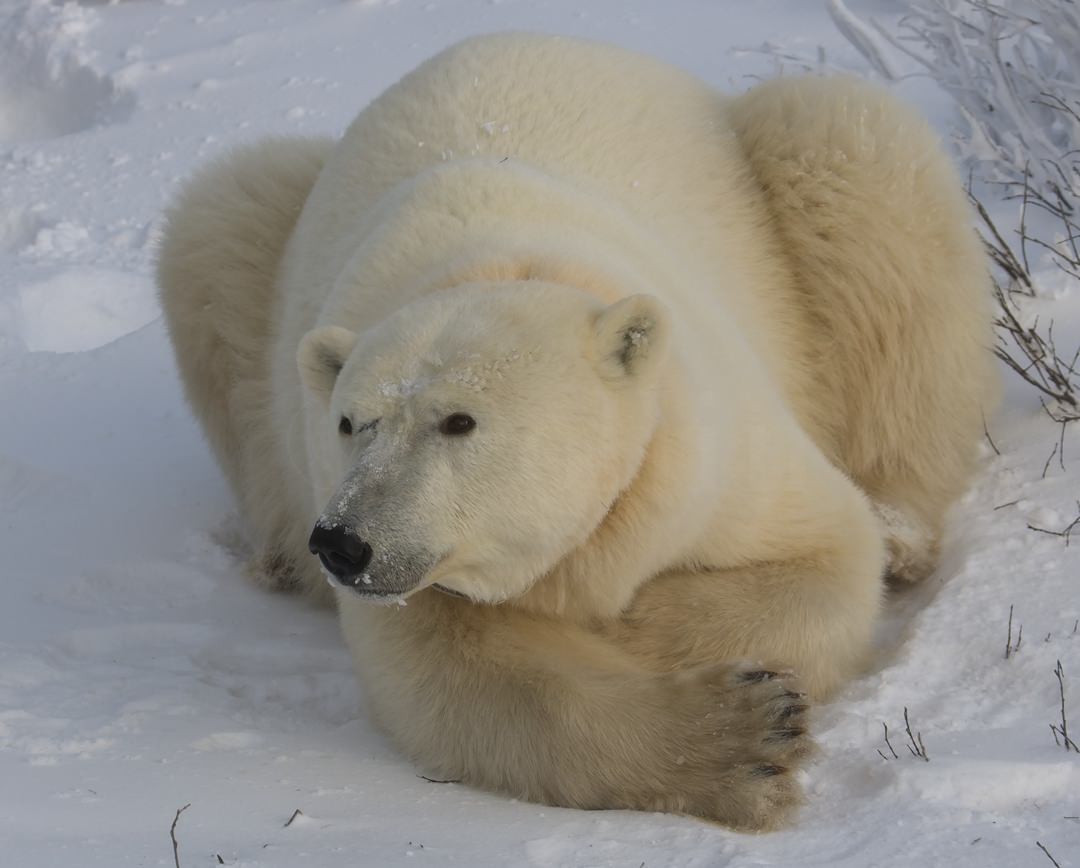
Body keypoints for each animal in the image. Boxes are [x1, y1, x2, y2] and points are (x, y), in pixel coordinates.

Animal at [157, 33, 999, 831]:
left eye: (458, 420)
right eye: (348, 422)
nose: (343, 543)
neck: (495, 261)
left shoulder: (703, 446)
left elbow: (825, 559)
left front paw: (624, 625)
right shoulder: (410, 574)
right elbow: (462, 679)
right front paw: (748, 737)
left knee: (860, 159)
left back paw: (902, 530)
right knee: (217, 226)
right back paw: (275, 557)